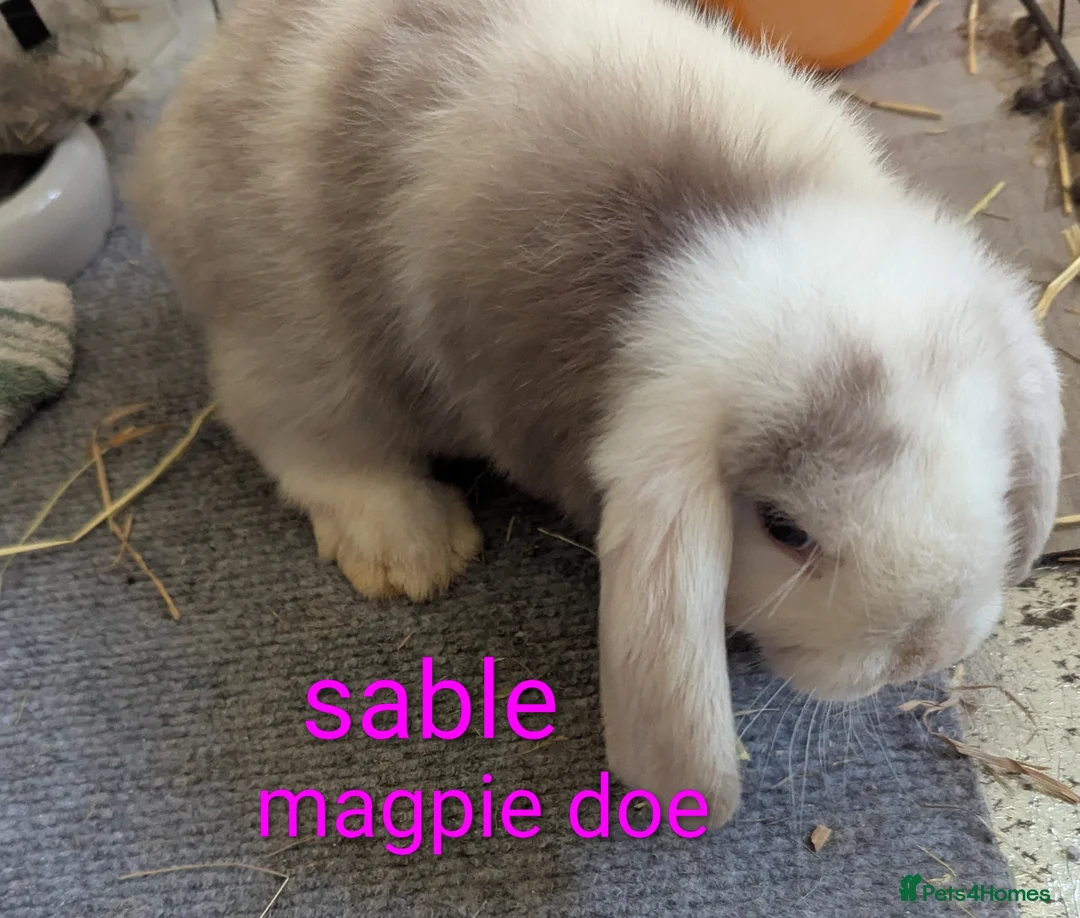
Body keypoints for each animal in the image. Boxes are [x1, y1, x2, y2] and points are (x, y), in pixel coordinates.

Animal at [126, 0, 1063, 828]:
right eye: (784, 530)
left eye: (991, 470)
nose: (927, 650)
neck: (704, 223)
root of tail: (180, 120)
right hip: (294, 346)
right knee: (300, 438)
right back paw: (411, 548)